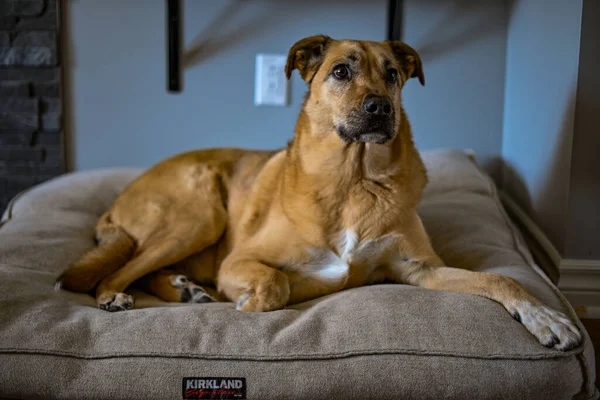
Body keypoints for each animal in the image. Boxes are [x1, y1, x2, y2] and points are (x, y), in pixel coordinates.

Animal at [57, 36, 580, 350]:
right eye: (341, 72)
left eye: (393, 73)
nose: (381, 107)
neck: (353, 181)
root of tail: (116, 203)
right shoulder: (240, 261)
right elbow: (277, 283)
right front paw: (249, 302)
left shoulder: (421, 270)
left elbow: (501, 280)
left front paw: (546, 318)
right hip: (200, 215)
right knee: (121, 269)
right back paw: (119, 295)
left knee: (145, 269)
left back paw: (183, 289)